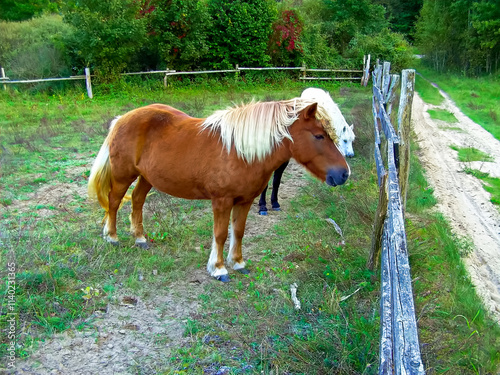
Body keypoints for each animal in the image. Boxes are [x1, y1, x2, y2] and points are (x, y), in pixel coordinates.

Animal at [88, 99, 350, 282]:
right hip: (123, 176)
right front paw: (219, 268)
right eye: (319, 135)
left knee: (137, 200)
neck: (241, 151)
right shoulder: (222, 201)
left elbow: (239, 231)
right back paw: (111, 237)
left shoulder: (245, 200)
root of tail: (122, 119)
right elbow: (221, 234)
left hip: (147, 177)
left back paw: (140, 238)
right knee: (114, 201)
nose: (344, 173)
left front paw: (238, 263)